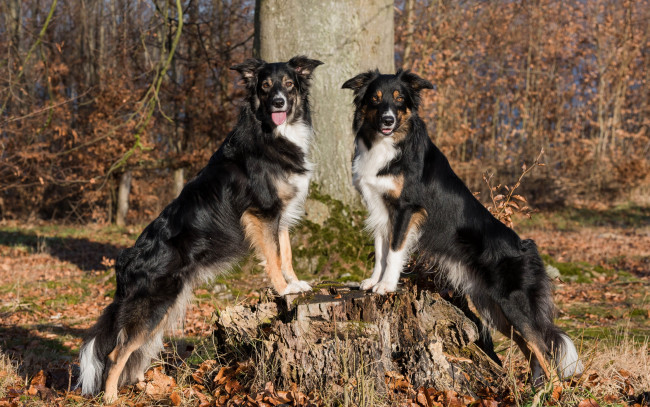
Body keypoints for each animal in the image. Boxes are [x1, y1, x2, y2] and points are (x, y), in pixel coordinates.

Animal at [78, 55, 322, 404]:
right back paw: (111, 397)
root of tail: (125, 261)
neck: (272, 133)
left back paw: (144, 386)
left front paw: (296, 283)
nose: (279, 101)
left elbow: (285, 254)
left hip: (164, 309)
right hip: (153, 306)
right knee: (116, 353)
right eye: (265, 86)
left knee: (137, 351)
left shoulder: (280, 215)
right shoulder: (262, 213)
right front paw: (282, 289)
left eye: (289, 84)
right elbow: (273, 258)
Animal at [342, 70, 580, 386]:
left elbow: (394, 252)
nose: (388, 120)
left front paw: (387, 286)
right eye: (375, 99)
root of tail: (527, 247)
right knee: (533, 352)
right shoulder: (382, 210)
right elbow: (382, 250)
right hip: (497, 310)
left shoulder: (406, 209)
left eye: (399, 99)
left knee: (545, 351)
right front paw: (372, 282)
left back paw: (548, 392)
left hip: (513, 305)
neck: (390, 145)